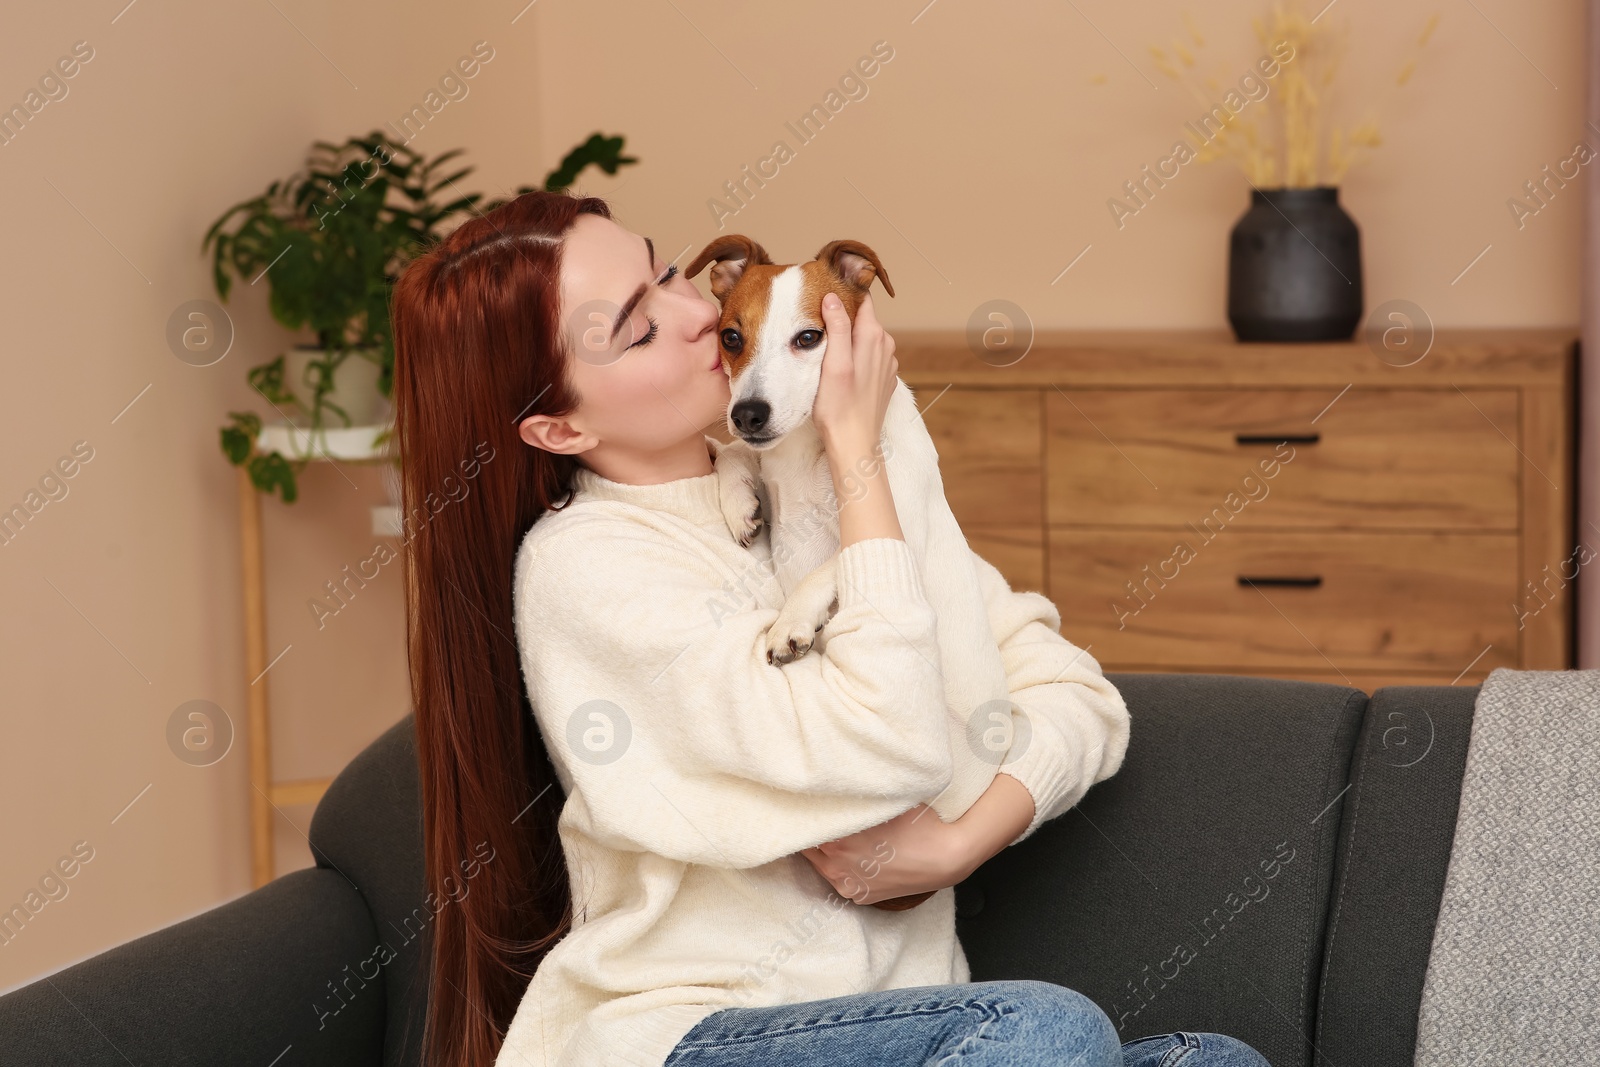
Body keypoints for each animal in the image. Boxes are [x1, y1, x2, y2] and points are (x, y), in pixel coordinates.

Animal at [684, 238, 1011, 915]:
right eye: (731, 337)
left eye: (810, 337)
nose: (747, 413)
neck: (807, 452)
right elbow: (732, 457)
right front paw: (739, 500)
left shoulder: (893, 526)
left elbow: (833, 564)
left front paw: (790, 624)